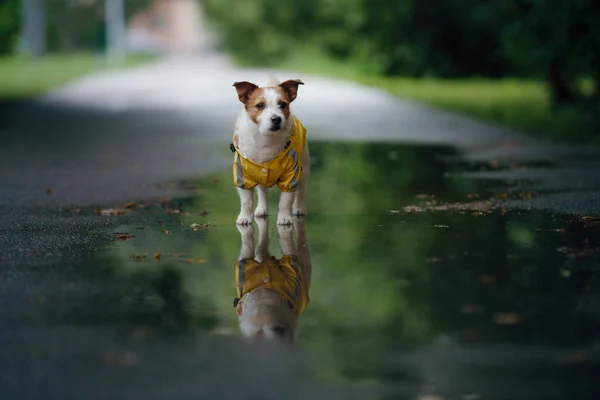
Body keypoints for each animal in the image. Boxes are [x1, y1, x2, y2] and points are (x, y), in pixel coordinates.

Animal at [227, 76, 308, 225]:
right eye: (260, 105)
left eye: (283, 105)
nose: (276, 119)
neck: (266, 139)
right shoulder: (244, 176)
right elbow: (246, 201)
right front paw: (245, 217)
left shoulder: (290, 175)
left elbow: (286, 200)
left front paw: (284, 217)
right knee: (263, 191)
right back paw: (261, 209)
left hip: (304, 167)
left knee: (301, 191)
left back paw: (299, 208)